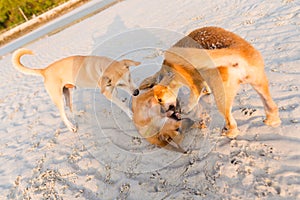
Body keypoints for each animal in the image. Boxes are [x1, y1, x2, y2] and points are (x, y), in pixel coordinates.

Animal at [11, 48, 141, 133]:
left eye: (129, 77)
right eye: (121, 84)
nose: (136, 93)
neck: (103, 67)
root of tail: (44, 70)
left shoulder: (111, 88)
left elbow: (117, 96)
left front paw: (122, 99)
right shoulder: (106, 92)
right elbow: (120, 103)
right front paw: (129, 113)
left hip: (67, 91)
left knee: (69, 105)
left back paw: (78, 113)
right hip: (58, 97)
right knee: (62, 114)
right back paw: (71, 127)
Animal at [139, 26, 280, 138]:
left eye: (159, 100)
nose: (166, 113)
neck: (168, 71)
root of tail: (235, 50)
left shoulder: (195, 84)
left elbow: (192, 100)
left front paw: (186, 109)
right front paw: (206, 92)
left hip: (221, 98)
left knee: (231, 123)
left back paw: (229, 133)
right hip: (259, 84)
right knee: (272, 106)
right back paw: (272, 121)